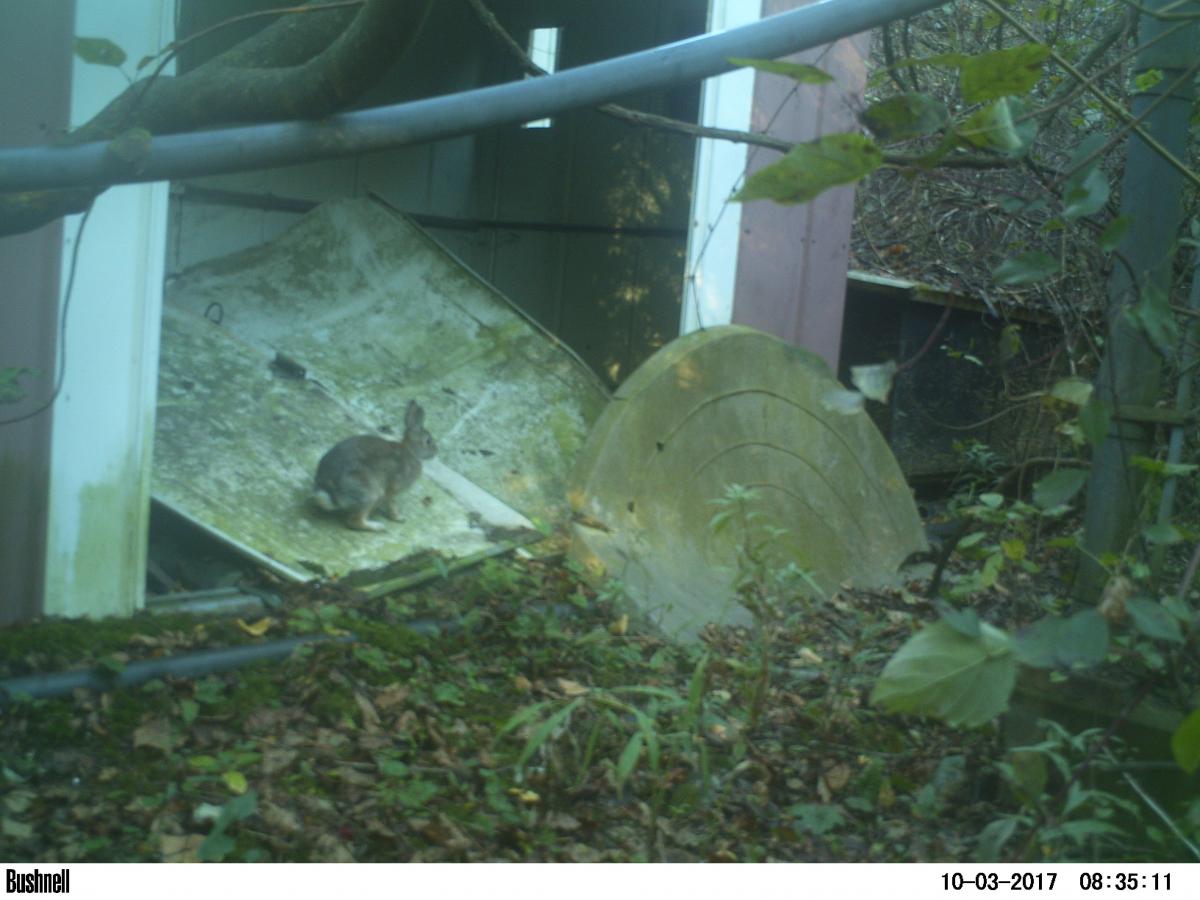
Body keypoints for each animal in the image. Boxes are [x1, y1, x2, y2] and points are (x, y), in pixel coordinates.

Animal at [312, 400, 439, 532]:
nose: (436, 451)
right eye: (428, 441)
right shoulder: (393, 488)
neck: (411, 451)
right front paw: (399, 518)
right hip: (368, 493)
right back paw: (378, 526)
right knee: (354, 522)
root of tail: (330, 491)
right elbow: (392, 504)